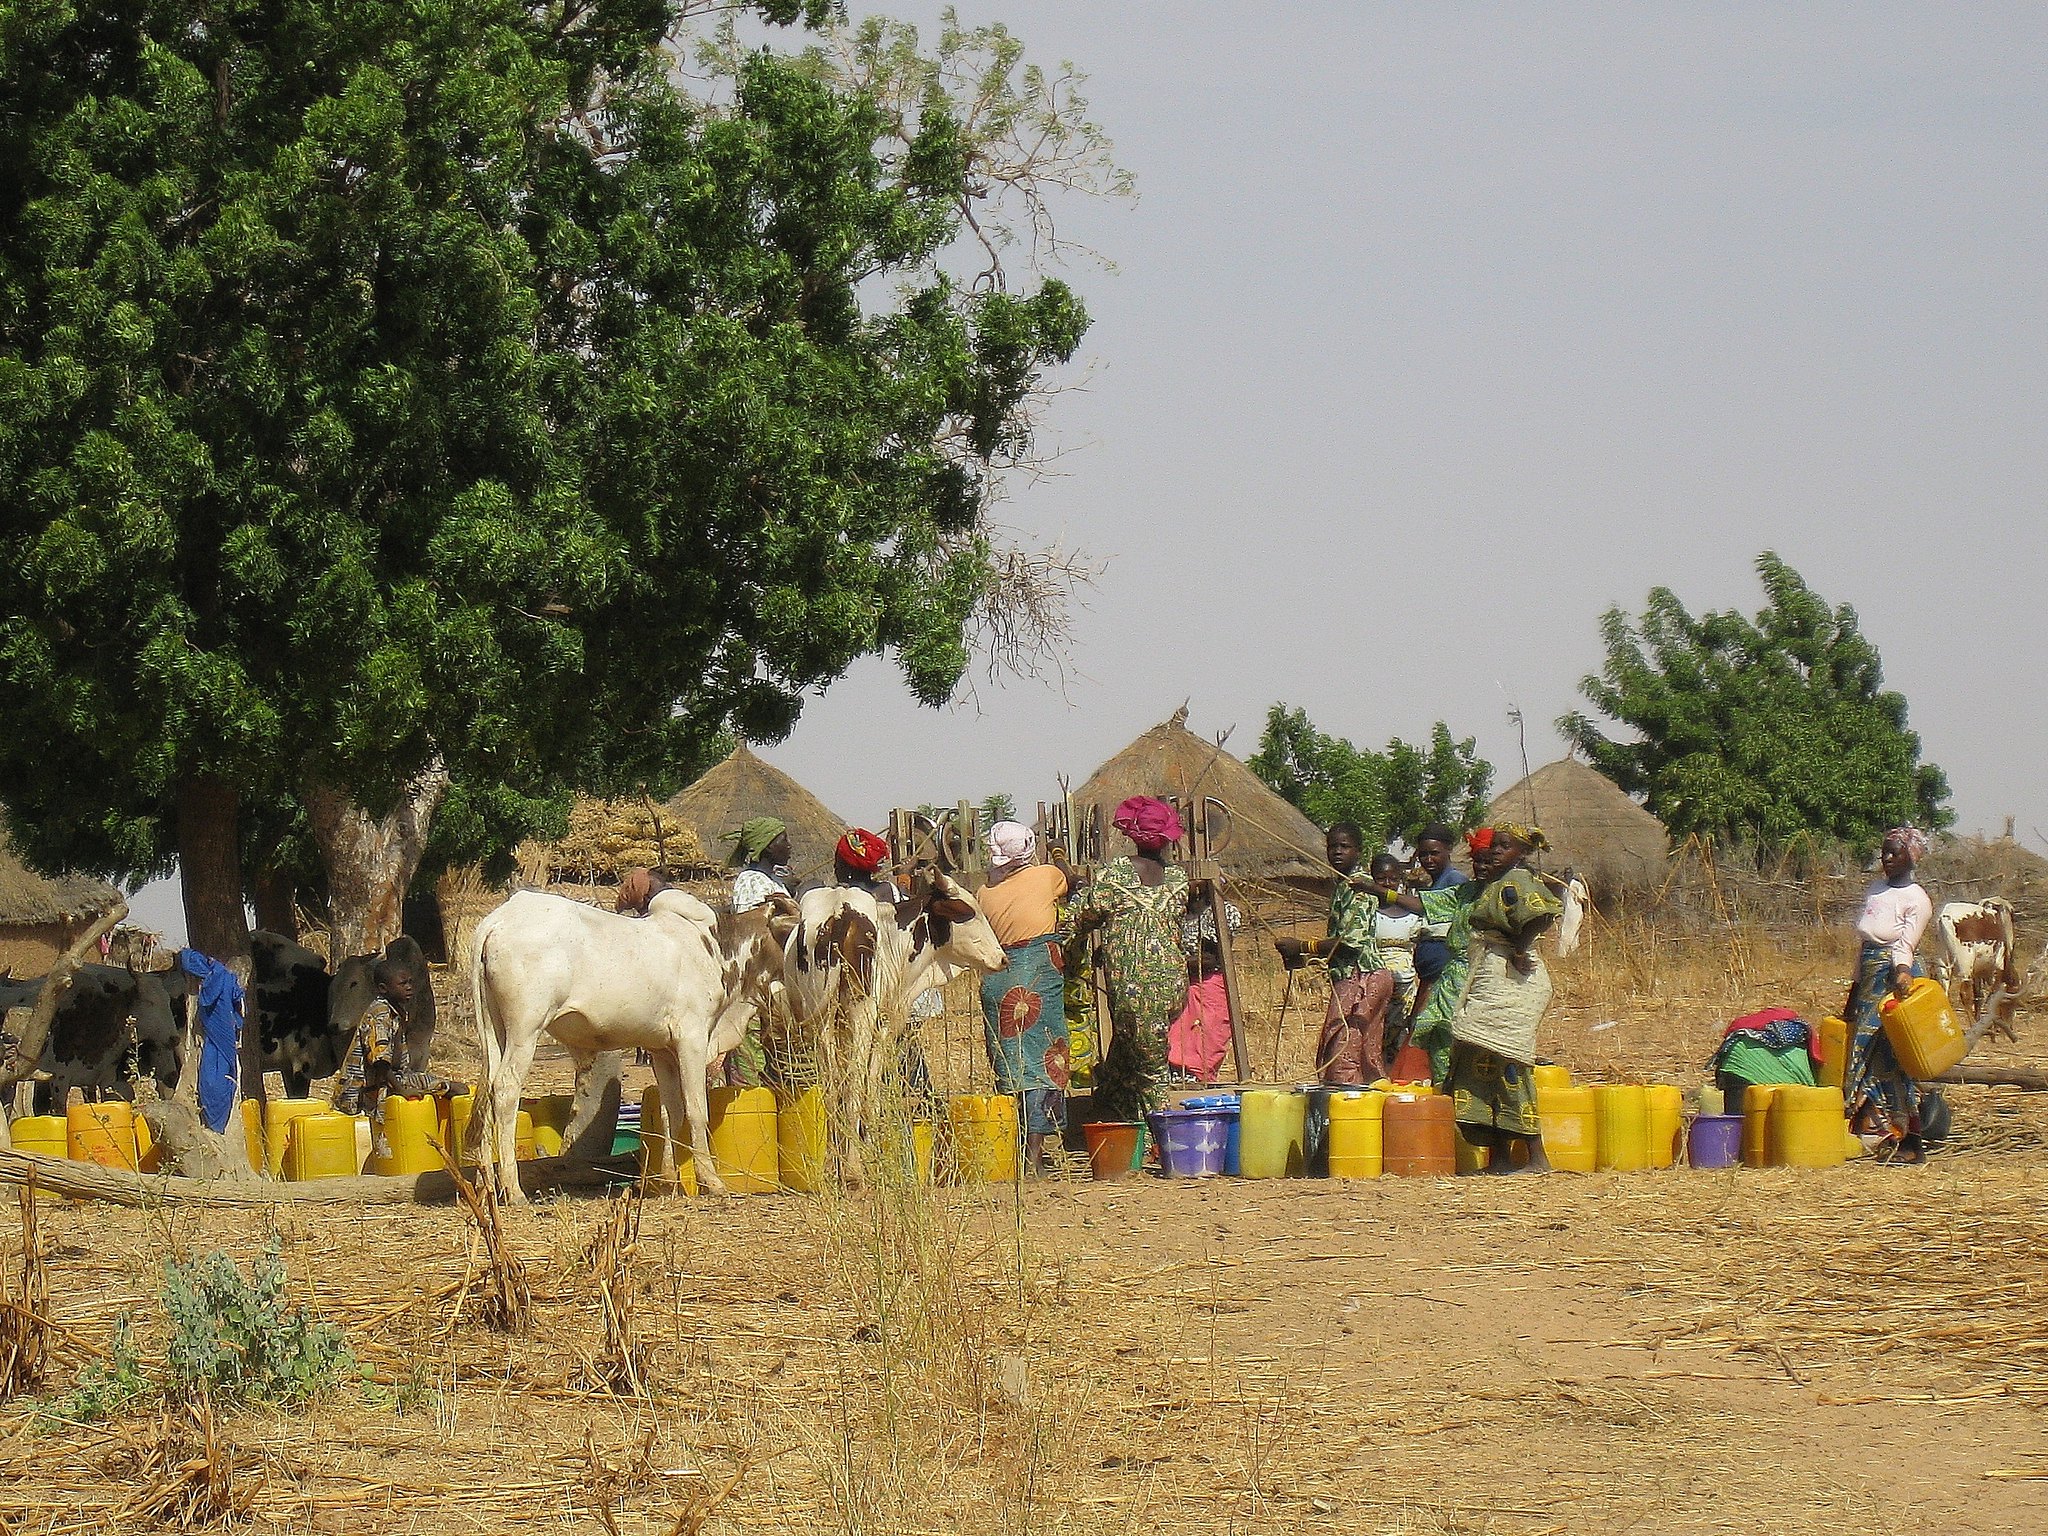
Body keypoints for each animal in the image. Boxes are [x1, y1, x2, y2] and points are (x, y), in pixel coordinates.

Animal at [471, 888, 790, 1204]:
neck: (714, 948)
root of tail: (498, 920)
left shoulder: (662, 1051)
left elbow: (670, 1113)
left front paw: (669, 1180)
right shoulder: (693, 1040)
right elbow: (696, 1110)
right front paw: (711, 1181)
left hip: (495, 1030)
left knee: (487, 1089)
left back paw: (486, 1185)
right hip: (526, 1029)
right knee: (505, 1088)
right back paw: (513, 1189)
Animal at [782, 872, 1007, 1187]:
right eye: (968, 911)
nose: (1002, 958)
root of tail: (840, 911)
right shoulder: (886, 1025)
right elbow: (871, 1088)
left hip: (820, 1020)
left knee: (831, 1089)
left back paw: (832, 1165)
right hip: (861, 1014)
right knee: (853, 1087)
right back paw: (854, 1170)